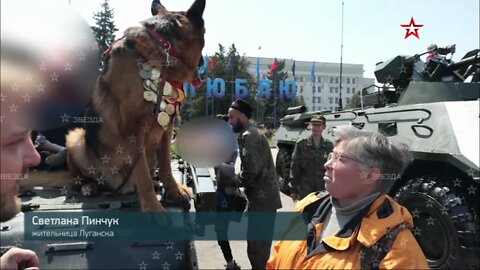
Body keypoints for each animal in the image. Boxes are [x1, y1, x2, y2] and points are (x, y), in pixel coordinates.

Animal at [62, 0, 204, 211]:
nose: (203, 62)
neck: (162, 51)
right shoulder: (132, 130)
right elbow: (143, 175)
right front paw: (153, 208)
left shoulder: (167, 127)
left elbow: (166, 164)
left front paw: (173, 189)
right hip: (76, 139)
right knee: (80, 179)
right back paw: (89, 186)